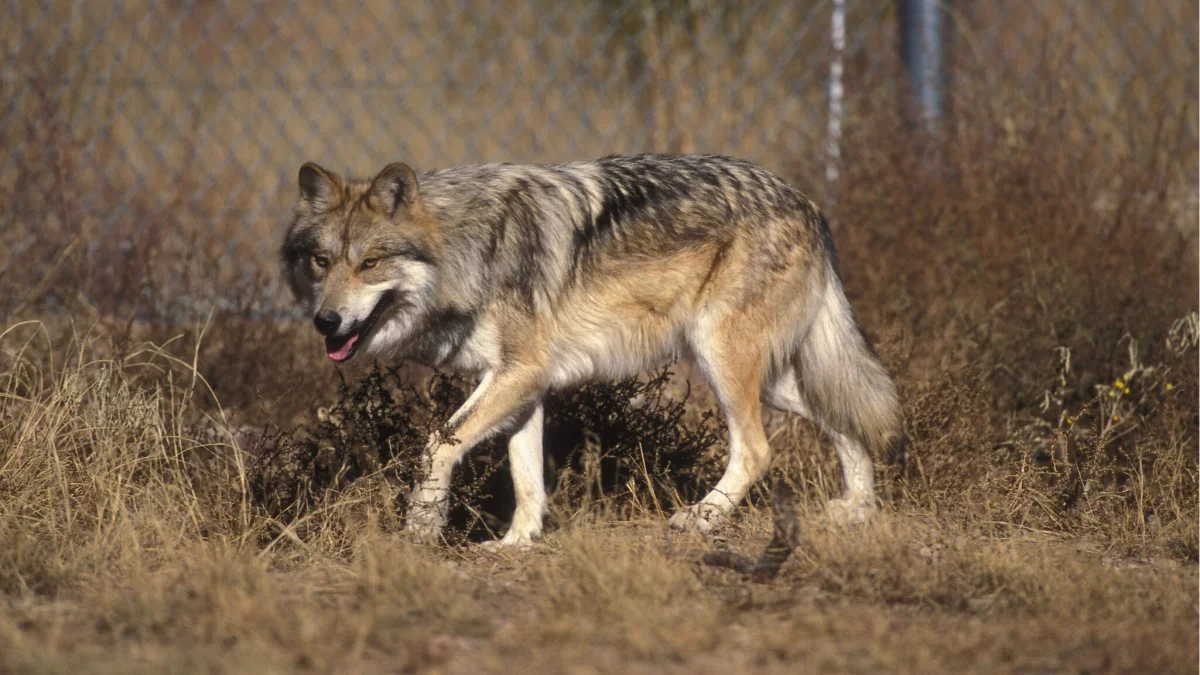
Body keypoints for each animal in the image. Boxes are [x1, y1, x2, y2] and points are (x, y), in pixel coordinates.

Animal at [278, 153, 902, 547]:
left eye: (369, 263)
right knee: (847, 417)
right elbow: (527, 476)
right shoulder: (522, 385)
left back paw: (700, 519)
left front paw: (422, 527)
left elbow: (436, 444)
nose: (326, 321)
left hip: (723, 362)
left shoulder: (519, 374)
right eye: (322, 261)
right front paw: (516, 543)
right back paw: (858, 510)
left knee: (758, 450)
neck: (466, 250)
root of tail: (808, 204)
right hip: (771, 378)